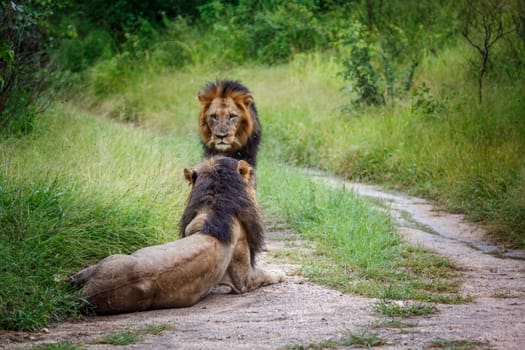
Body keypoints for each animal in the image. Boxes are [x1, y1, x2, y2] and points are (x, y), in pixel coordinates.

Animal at [71, 156, 284, 314]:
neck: (214, 207)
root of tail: (88, 294)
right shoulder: (243, 280)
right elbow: (266, 274)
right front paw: (281, 273)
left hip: (104, 263)